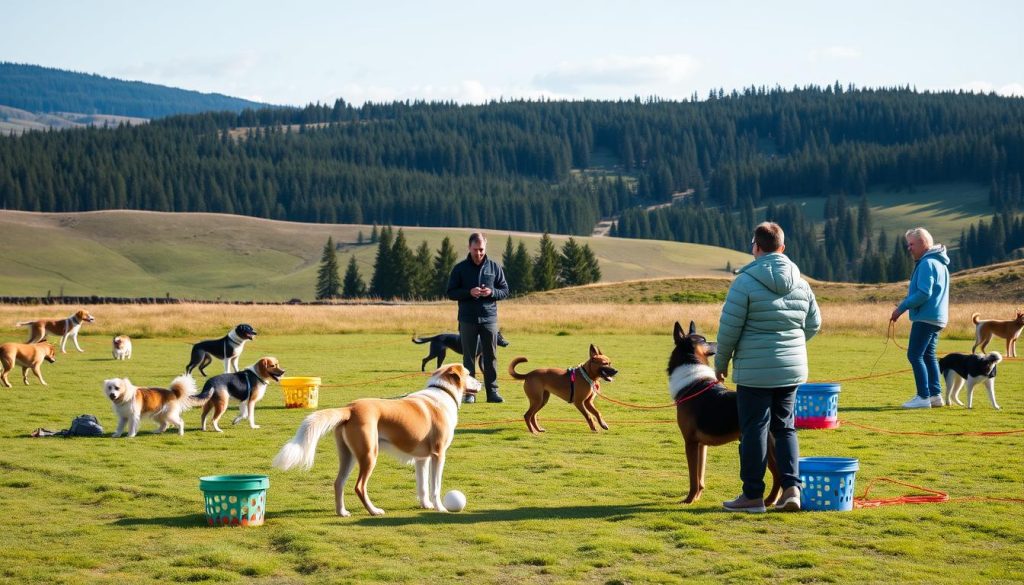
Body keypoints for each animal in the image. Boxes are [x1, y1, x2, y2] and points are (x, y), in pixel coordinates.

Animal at [667, 323, 778, 506]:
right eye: (703, 340)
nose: (719, 342)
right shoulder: (700, 445)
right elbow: (700, 476)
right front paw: (697, 497)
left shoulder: (690, 442)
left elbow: (693, 478)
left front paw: (689, 499)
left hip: (766, 447)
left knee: (779, 476)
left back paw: (769, 501)